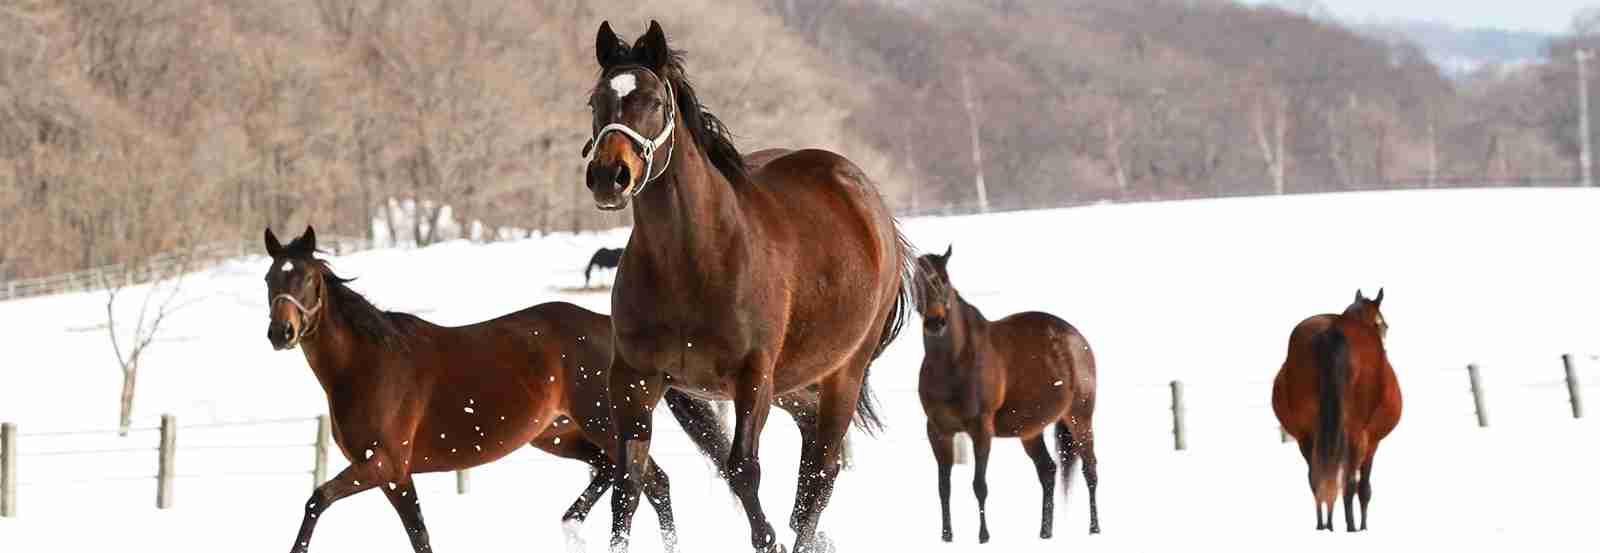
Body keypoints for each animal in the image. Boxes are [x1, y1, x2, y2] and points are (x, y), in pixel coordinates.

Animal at [261, 226, 736, 553]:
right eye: (270, 279)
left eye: (307, 278)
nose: (280, 334)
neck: (368, 367)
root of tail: (608, 327)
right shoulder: (393, 475)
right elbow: (418, 536)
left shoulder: (385, 466)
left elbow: (318, 501)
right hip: (557, 434)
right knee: (615, 474)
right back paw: (571, 527)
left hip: (607, 425)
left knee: (652, 484)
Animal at [578, 20, 914, 553]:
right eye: (596, 101)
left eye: (652, 100)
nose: (609, 177)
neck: (691, 264)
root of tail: (871, 202)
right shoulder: (635, 379)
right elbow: (628, 486)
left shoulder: (752, 378)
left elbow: (743, 472)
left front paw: (769, 537)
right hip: (794, 384)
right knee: (810, 459)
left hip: (842, 373)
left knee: (821, 474)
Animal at [913, 245, 1100, 542]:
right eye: (916, 283)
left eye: (944, 280)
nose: (935, 322)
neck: (954, 360)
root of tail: (1077, 339)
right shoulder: (938, 431)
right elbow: (944, 486)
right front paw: (946, 536)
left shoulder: (981, 430)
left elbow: (979, 485)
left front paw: (983, 536)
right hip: (1031, 432)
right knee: (1048, 471)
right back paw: (1044, 532)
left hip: (1080, 418)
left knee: (1089, 468)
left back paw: (1094, 528)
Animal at [1271, 289, 1402, 532]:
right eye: (1383, 325)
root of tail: (1333, 331)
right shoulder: (1372, 442)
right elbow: (1364, 489)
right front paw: (1363, 527)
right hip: (1355, 437)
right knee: (1349, 483)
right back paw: (1350, 528)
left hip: (1308, 436)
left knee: (1318, 479)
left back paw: (1325, 526)